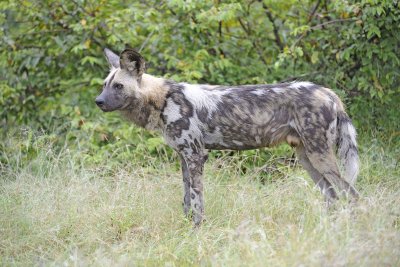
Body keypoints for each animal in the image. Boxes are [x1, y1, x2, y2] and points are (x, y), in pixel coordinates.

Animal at [96, 48, 360, 226]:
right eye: (104, 85)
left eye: (118, 86)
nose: (98, 101)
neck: (162, 99)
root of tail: (329, 93)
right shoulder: (183, 158)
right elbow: (186, 199)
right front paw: (186, 227)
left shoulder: (196, 155)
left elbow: (197, 199)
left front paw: (197, 229)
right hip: (308, 158)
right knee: (332, 196)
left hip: (320, 156)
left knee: (351, 195)